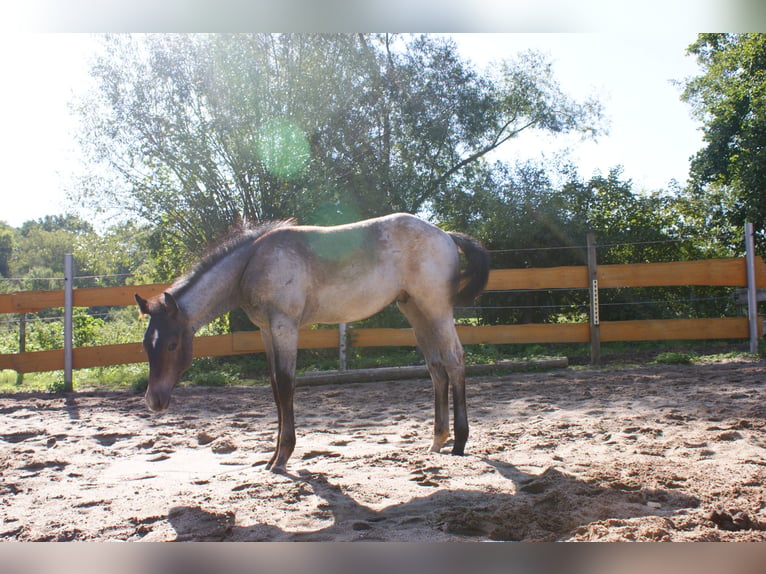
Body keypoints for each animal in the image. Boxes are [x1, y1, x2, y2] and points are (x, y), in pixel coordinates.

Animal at [135, 213, 489, 473]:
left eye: (171, 345)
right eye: (146, 345)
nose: (153, 400)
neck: (252, 263)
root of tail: (445, 234)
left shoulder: (284, 326)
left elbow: (286, 384)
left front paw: (282, 457)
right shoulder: (267, 330)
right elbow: (275, 386)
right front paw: (272, 457)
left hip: (435, 308)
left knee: (455, 360)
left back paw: (460, 442)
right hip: (414, 310)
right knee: (436, 367)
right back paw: (437, 441)